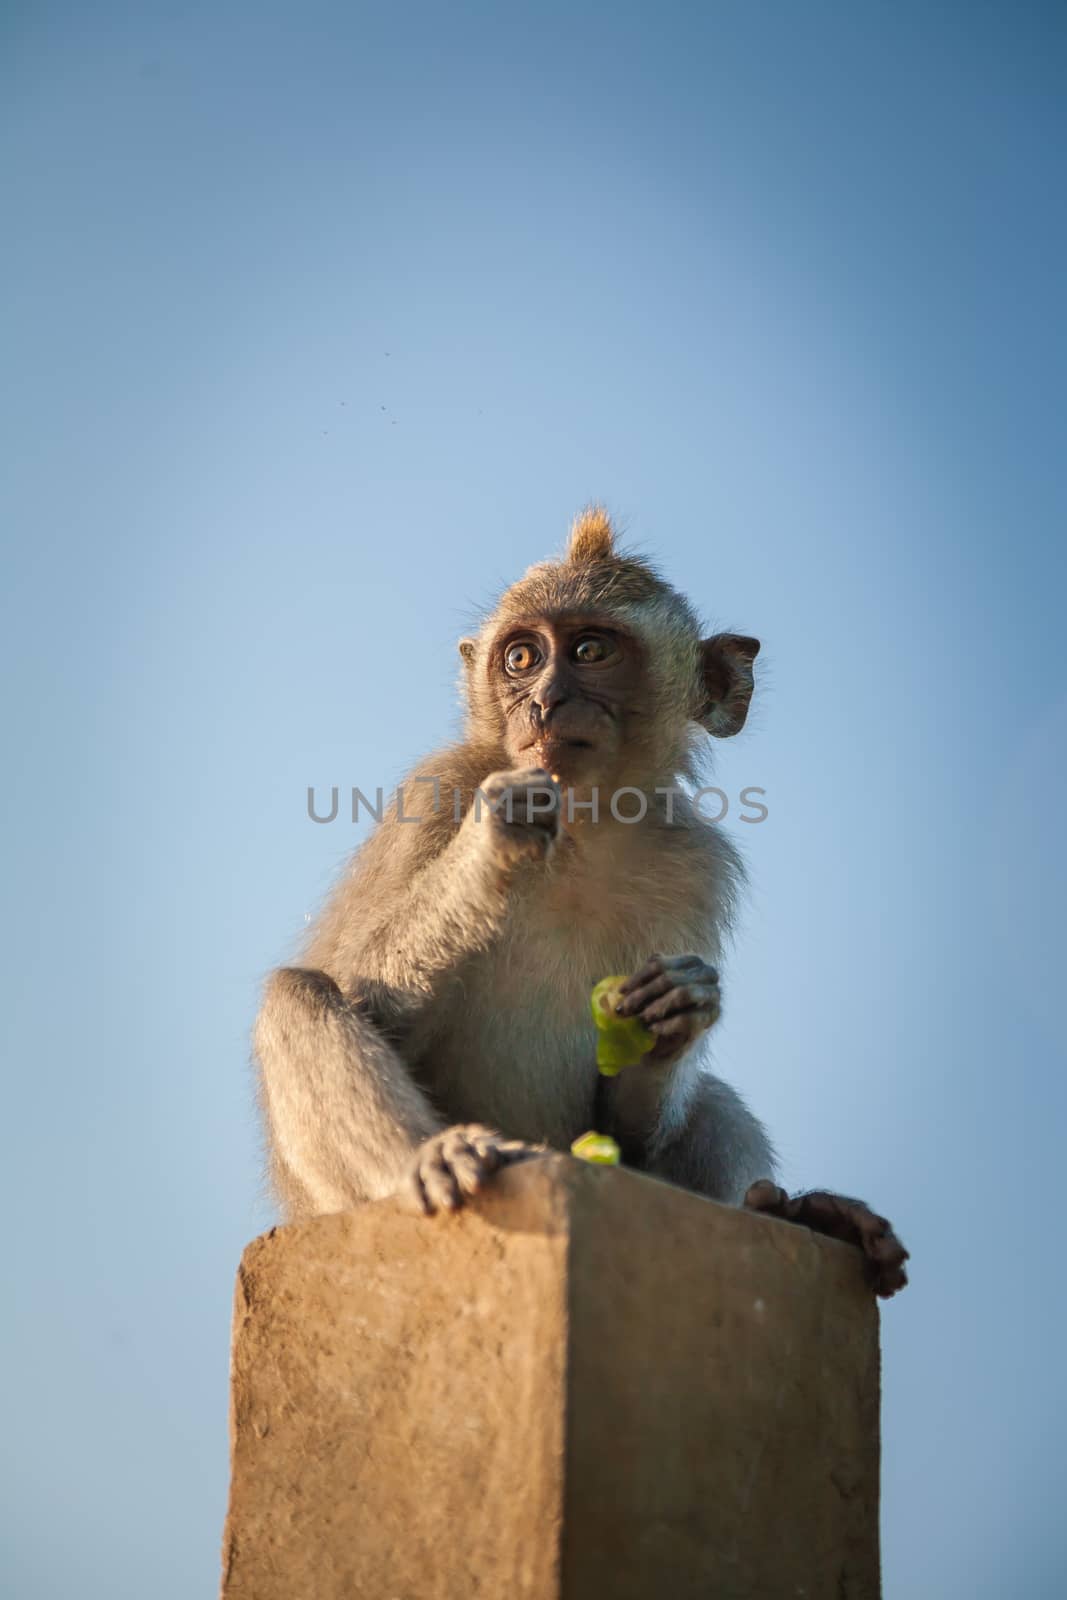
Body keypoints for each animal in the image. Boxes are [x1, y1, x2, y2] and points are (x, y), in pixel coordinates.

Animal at [252, 512, 908, 1299]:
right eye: (521, 657)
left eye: (592, 650)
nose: (542, 703)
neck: (584, 827)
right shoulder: (436, 791)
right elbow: (359, 990)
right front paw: (491, 846)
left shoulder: (696, 863)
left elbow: (626, 1127)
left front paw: (678, 1012)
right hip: (328, 1206)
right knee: (298, 995)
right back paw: (429, 1159)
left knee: (712, 1100)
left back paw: (793, 1211)